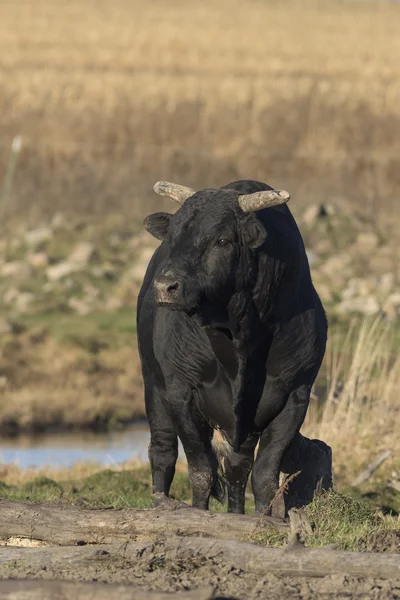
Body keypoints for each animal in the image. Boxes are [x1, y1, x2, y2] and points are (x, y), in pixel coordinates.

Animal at [136, 178, 326, 510]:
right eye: (172, 237)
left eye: (222, 240)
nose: (166, 286)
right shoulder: (181, 391)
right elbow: (201, 471)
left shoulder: (295, 395)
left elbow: (264, 476)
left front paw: (267, 518)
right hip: (153, 385)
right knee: (162, 451)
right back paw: (160, 501)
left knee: (237, 469)